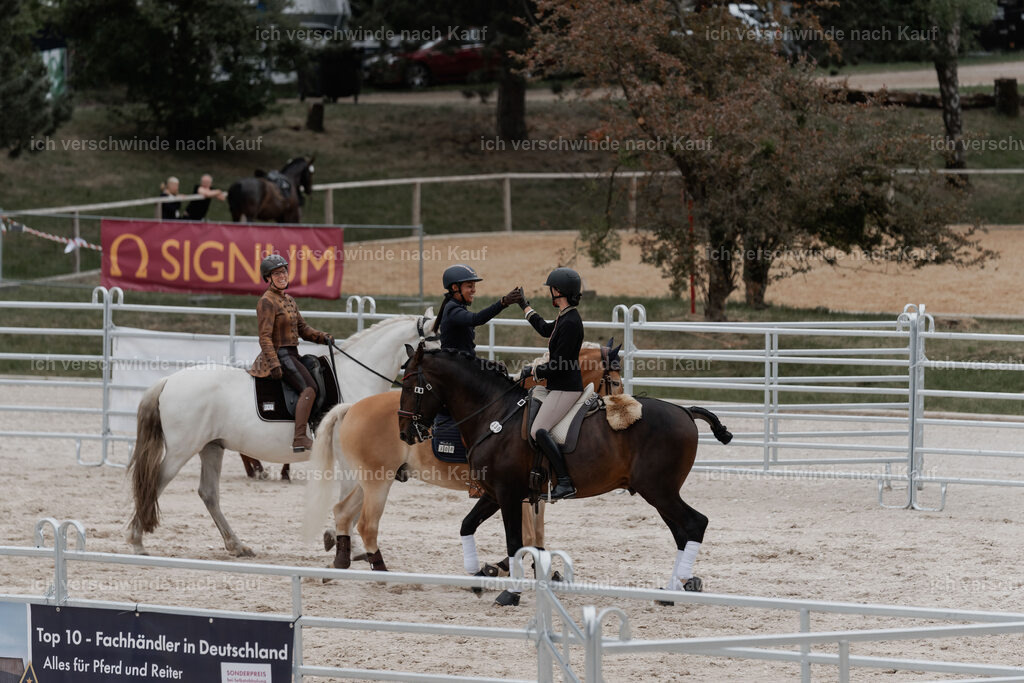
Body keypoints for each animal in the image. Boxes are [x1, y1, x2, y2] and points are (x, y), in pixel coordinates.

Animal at [126, 312, 435, 558]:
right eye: (439, 339)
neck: (355, 377)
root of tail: (168, 380)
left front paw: (337, 539)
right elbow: (352, 499)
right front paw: (345, 543)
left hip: (211, 447)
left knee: (208, 493)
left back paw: (237, 546)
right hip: (182, 449)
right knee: (154, 483)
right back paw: (137, 541)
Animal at [302, 340, 623, 576]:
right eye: (617, 383)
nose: (617, 408)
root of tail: (351, 407)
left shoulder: (530, 494)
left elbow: (537, 535)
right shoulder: (513, 492)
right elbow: (529, 536)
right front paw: (504, 567)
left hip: (372, 479)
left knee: (343, 511)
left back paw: (341, 561)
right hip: (377, 482)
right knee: (367, 523)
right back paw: (380, 571)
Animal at [397, 344, 733, 606]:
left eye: (410, 386)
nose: (406, 433)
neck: (494, 414)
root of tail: (685, 411)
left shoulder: (507, 494)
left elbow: (515, 543)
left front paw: (511, 593)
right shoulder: (494, 494)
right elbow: (467, 525)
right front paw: (478, 575)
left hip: (659, 491)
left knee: (694, 524)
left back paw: (679, 585)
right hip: (659, 493)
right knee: (681, 533)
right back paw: (672, 590)